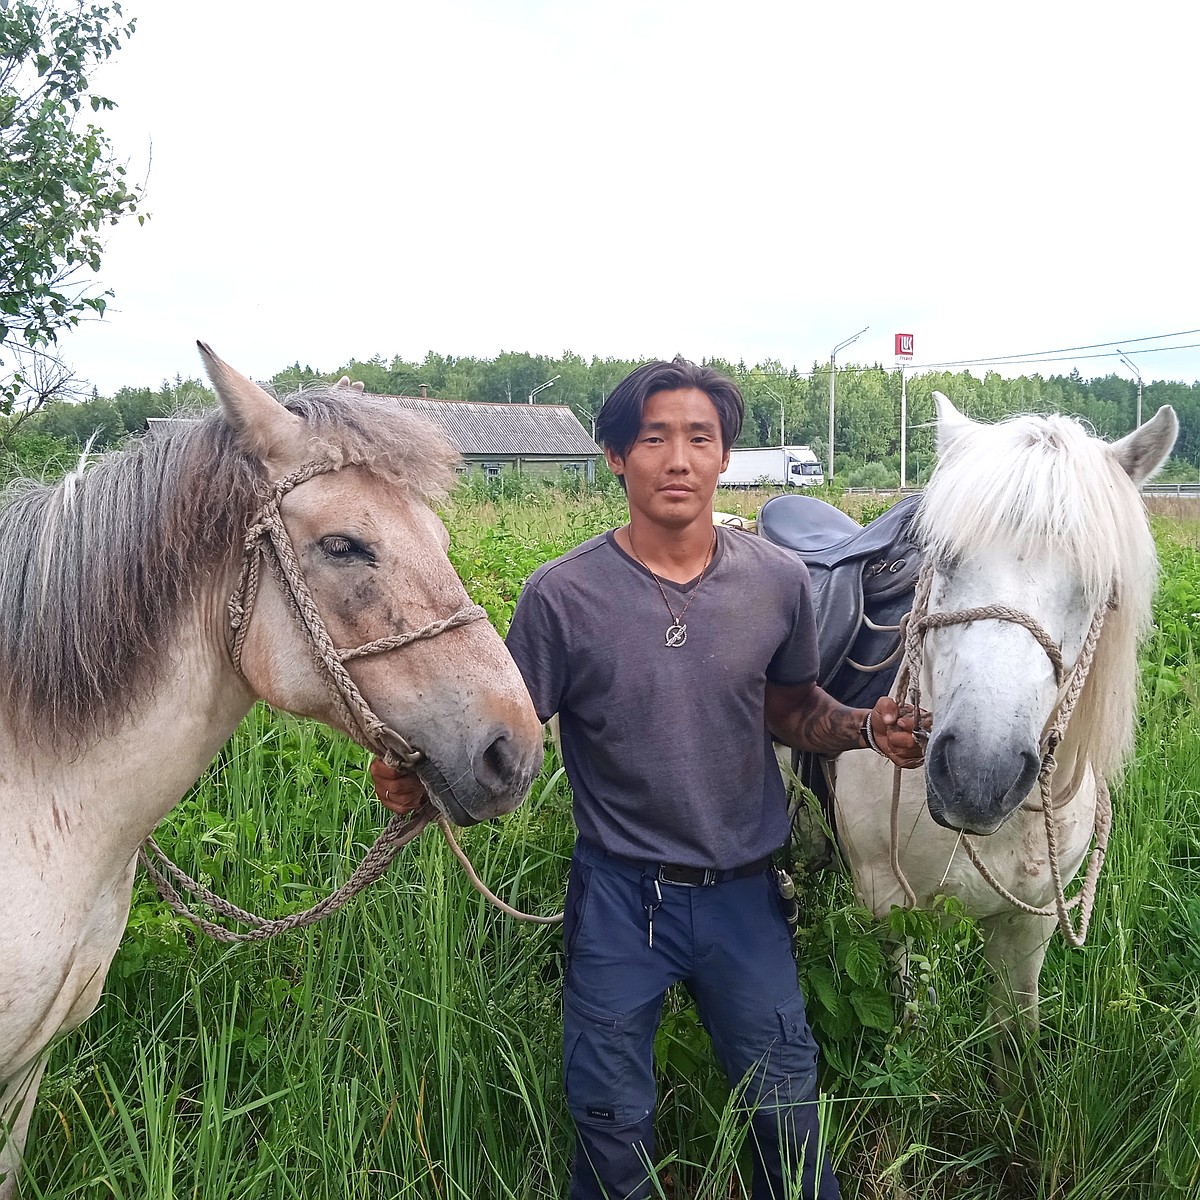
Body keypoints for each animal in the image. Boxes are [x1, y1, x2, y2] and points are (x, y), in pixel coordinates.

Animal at [830, 393, 1176, 1051]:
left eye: (1097, 584)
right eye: (943, 558)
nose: (976, 776)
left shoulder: (1027, 927)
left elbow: (1016, 1042)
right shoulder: (891, 909)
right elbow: (911, 1032)